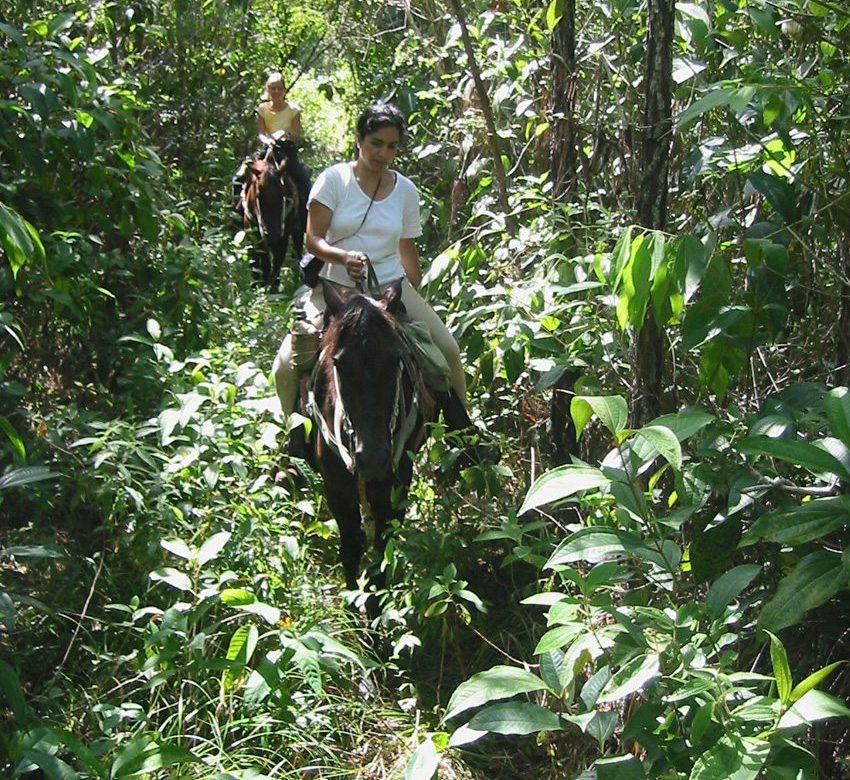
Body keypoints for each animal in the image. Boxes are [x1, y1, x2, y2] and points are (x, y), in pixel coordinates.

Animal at [240, 142, 304, 290]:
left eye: (283, 195)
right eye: (258, 195)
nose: (272, 234)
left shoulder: (282, 237)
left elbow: (275, 265)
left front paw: (272, 290)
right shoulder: (254, 234)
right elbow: (262, 262)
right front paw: (259, 287)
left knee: (298, 252)